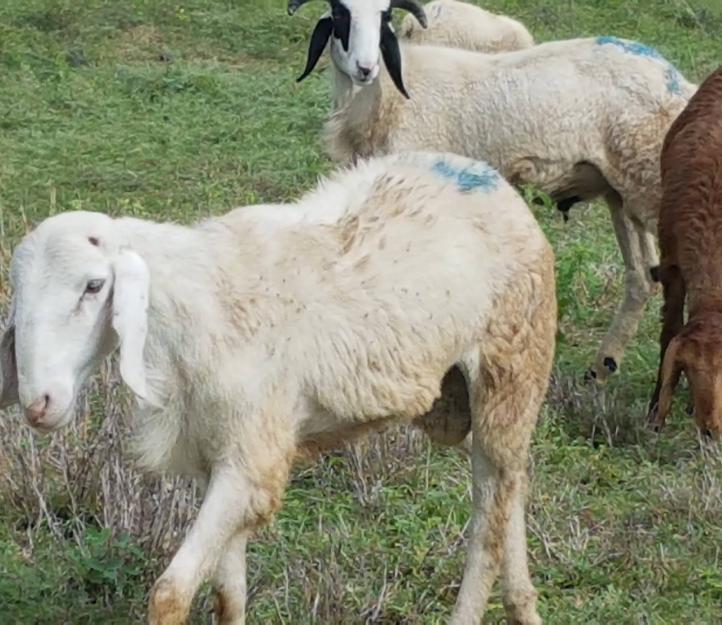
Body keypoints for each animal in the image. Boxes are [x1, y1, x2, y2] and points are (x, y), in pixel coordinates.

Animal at [1, 150, 557, 625]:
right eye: (18, 294)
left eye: (94, 286)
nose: (38, 404)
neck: (196, 307)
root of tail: (484, 173)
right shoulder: (214, 462)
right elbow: (228, 594)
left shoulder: (252, 463)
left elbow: (170, 593)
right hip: (459, 399)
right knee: (511, 484)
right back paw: (523, 606)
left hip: (512, 366)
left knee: (487, 523)